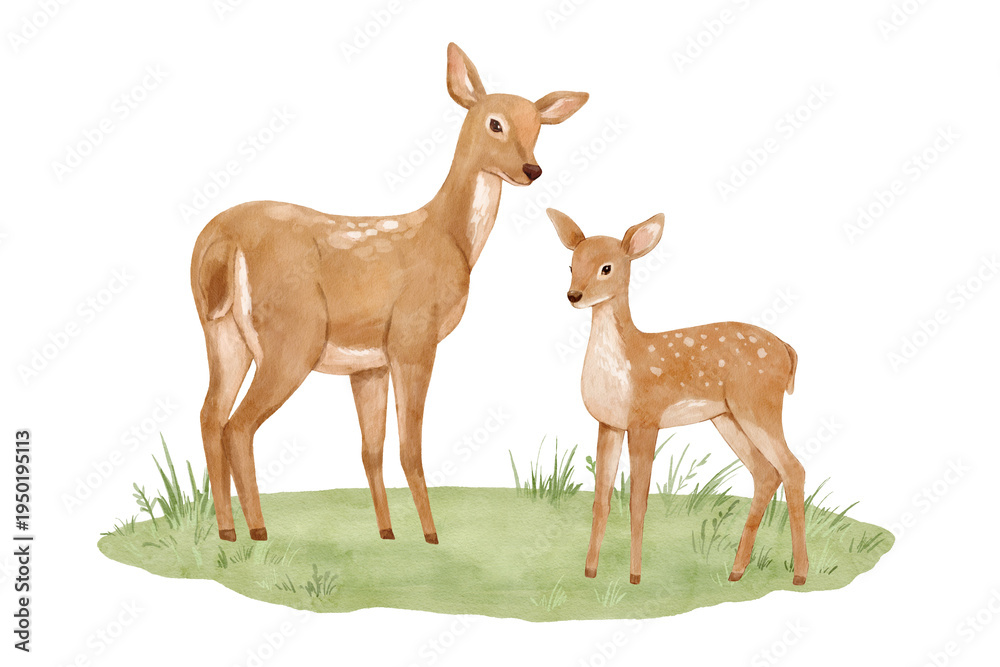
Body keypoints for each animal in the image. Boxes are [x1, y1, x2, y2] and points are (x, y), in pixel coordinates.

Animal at [190, 44, 588, 544]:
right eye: (494, 123)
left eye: (538, 128)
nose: (531, 170)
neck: (450, 238)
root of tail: (220, 241)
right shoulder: (413, 337)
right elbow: (409, 447)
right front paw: (431, 536)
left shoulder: (369, 364)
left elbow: (371, 450)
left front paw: (387, 533)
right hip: (293, 335)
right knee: (238, 426)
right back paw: (258, 531)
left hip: (222, 332)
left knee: (209, 415)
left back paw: (227, 531)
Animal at [546, 208, 808, 586]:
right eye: (570, 265)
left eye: (606, 267)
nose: (574, 295)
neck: (625, 364)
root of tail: (788, 351)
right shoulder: (609, 423)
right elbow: (601, 499)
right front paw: (590, 571)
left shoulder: (645, 419)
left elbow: (638, 501)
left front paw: (635, 577)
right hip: (727, 416)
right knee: (765, 473)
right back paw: (736, 571)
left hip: (758, 404)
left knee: (792, 468)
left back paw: (799, 575)